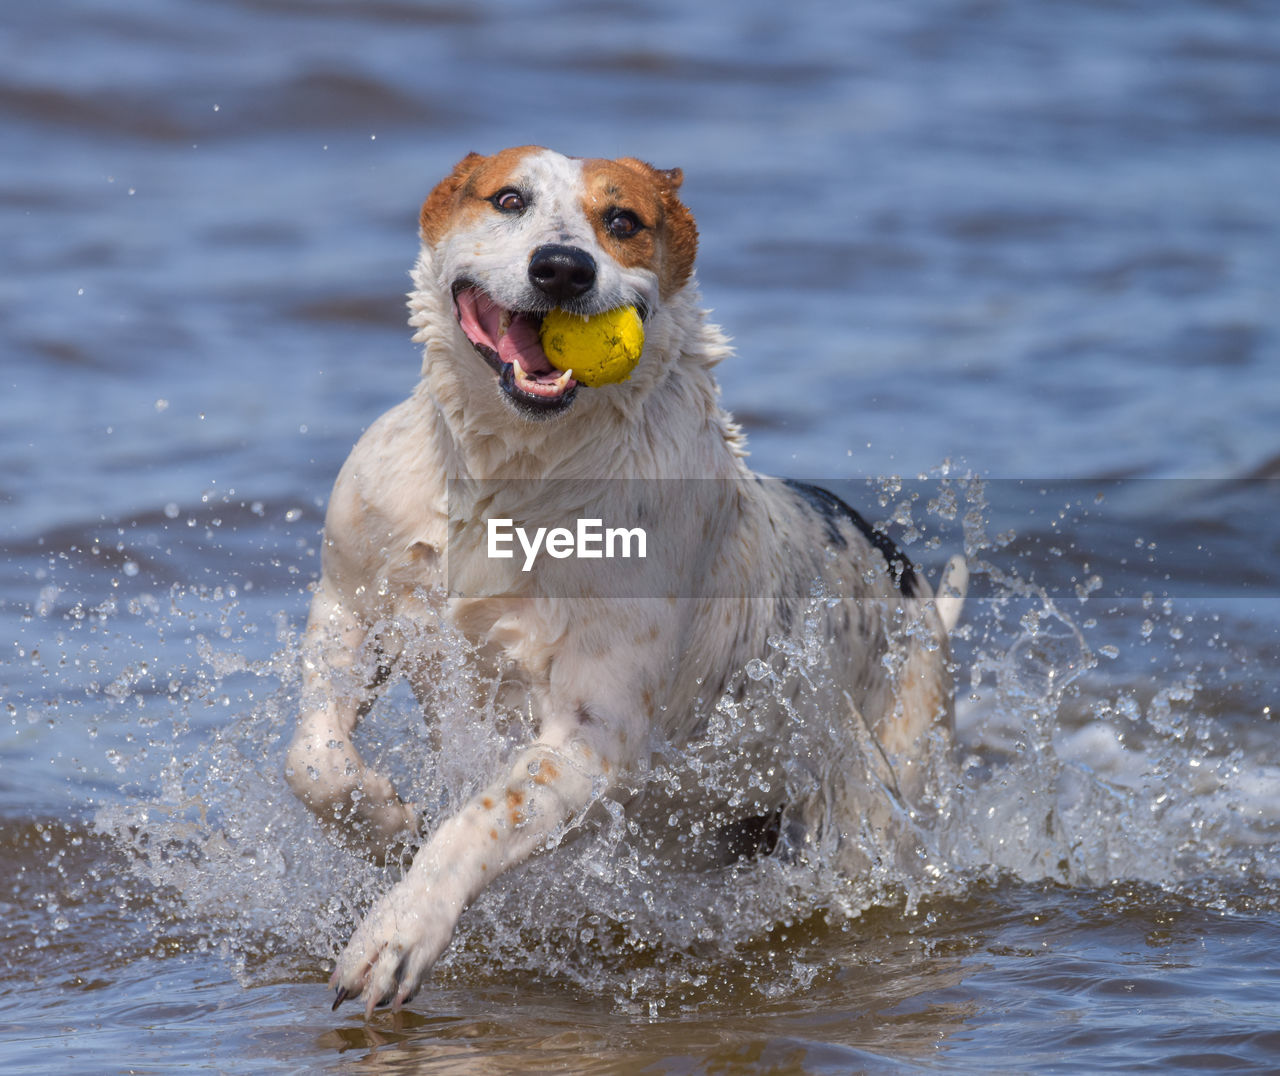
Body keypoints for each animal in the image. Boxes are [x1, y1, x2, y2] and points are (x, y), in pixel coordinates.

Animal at [282, 144, 962, 1018]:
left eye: (623, 221)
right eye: (509, 199)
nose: (563, 268)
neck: (520, 472)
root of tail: (905, 576)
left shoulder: (590, 740)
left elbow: (481, 817)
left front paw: (398, 929)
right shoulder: (351, 594)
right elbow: (314, 760)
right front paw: (386, 823)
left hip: (885, 775)